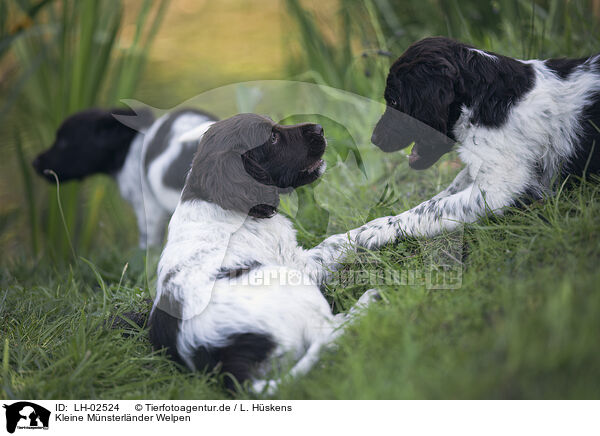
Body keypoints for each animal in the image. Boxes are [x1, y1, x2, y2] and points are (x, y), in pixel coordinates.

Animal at [148, 114, 378, 394]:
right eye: (273, 138)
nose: (320, 128)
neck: (216, 200)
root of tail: (231, 364)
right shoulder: (300, 264)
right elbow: (342, 240)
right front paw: (393, 224)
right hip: (292, 284)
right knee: (330, 333)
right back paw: (369, 302)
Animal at [358, 36, 600, 245]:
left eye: (394, 101)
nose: (374, 138)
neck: (485, 101)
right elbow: (432, 201)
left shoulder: (499, 191)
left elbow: (430, 210)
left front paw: (369, 232)